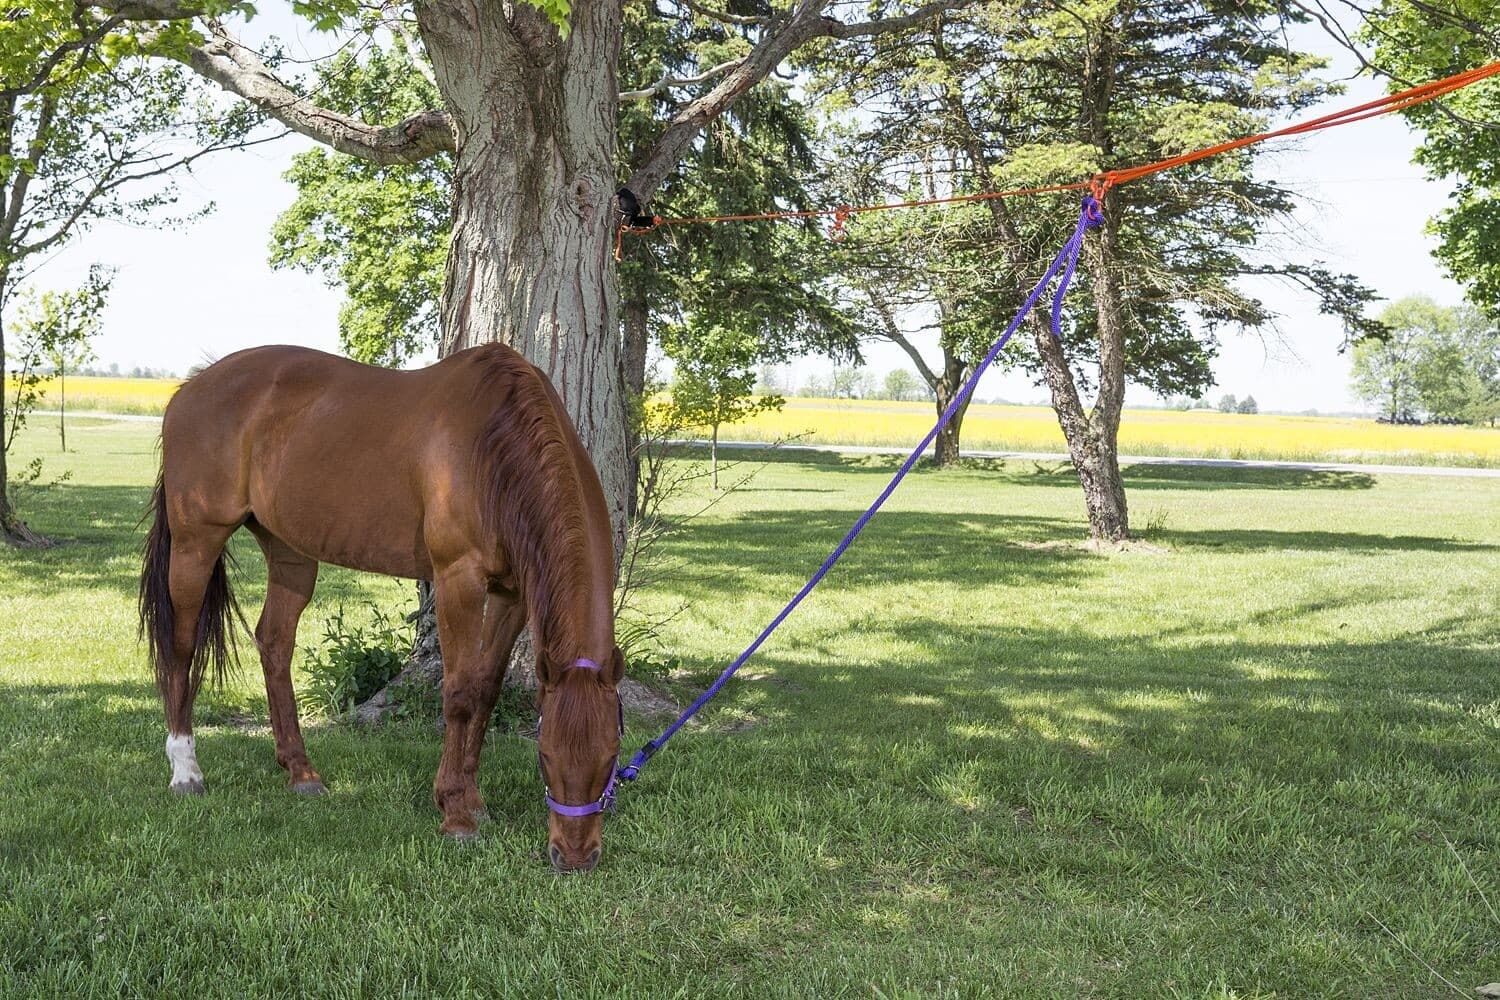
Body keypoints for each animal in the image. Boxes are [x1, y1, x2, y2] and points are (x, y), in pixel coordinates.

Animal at [137, 344, 624, 872]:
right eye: (545, 757)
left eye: (612, 757)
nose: (575, 856)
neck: (495, 444)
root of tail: (189, 390)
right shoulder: (458, 579)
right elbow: (459, 693)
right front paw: (456, 813)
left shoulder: (511, 595)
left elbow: (487, 689)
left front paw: (473, 799)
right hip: (196, 543)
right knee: (181, 647)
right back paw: (186, 770)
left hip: (290, 553)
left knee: (274, 643)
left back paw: (301, 771)